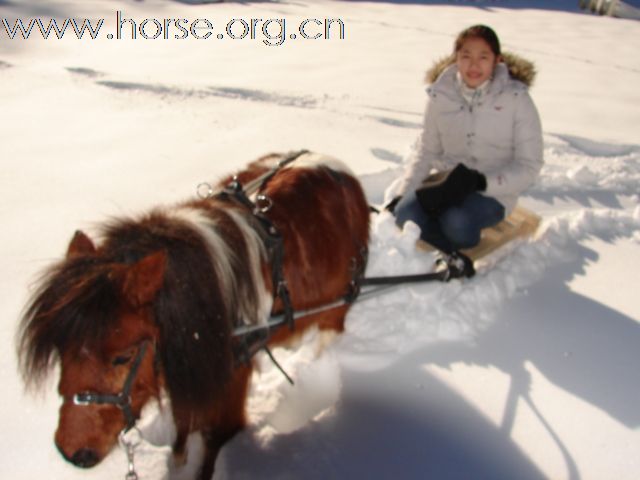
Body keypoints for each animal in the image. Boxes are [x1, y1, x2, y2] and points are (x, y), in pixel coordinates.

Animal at [17, 151, 370, 480]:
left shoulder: (229, 376)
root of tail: (338, 168)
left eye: (123, 356)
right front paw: (177, 461)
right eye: (62, 350)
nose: (72, 451)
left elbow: (216, 436)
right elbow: (184, 422)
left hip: (337, 307)